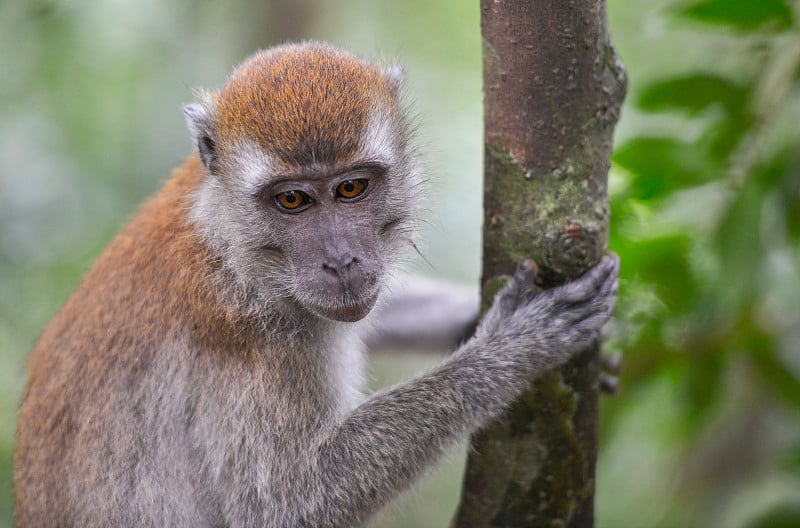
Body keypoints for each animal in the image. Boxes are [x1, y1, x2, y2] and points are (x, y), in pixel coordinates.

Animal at [12, 42, 620, 528]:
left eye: (351, 188)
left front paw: (469, 321)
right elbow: (288, 505)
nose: (340, 260)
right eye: (292, 200)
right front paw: (511, 348)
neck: (229, 247)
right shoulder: (246, 336)